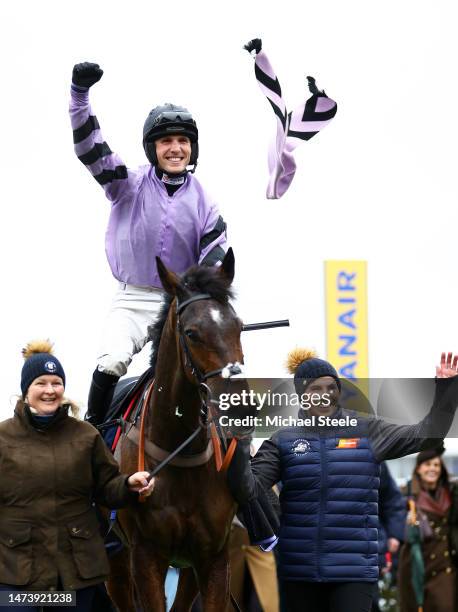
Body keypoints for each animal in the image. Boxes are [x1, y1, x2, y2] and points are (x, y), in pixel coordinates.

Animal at [107, 249, 245, 612]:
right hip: (116, 556)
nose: (240, 403)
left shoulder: (213, 556)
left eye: (239, 326)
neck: (179, 447)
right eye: (193, 333)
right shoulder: (146, 554)